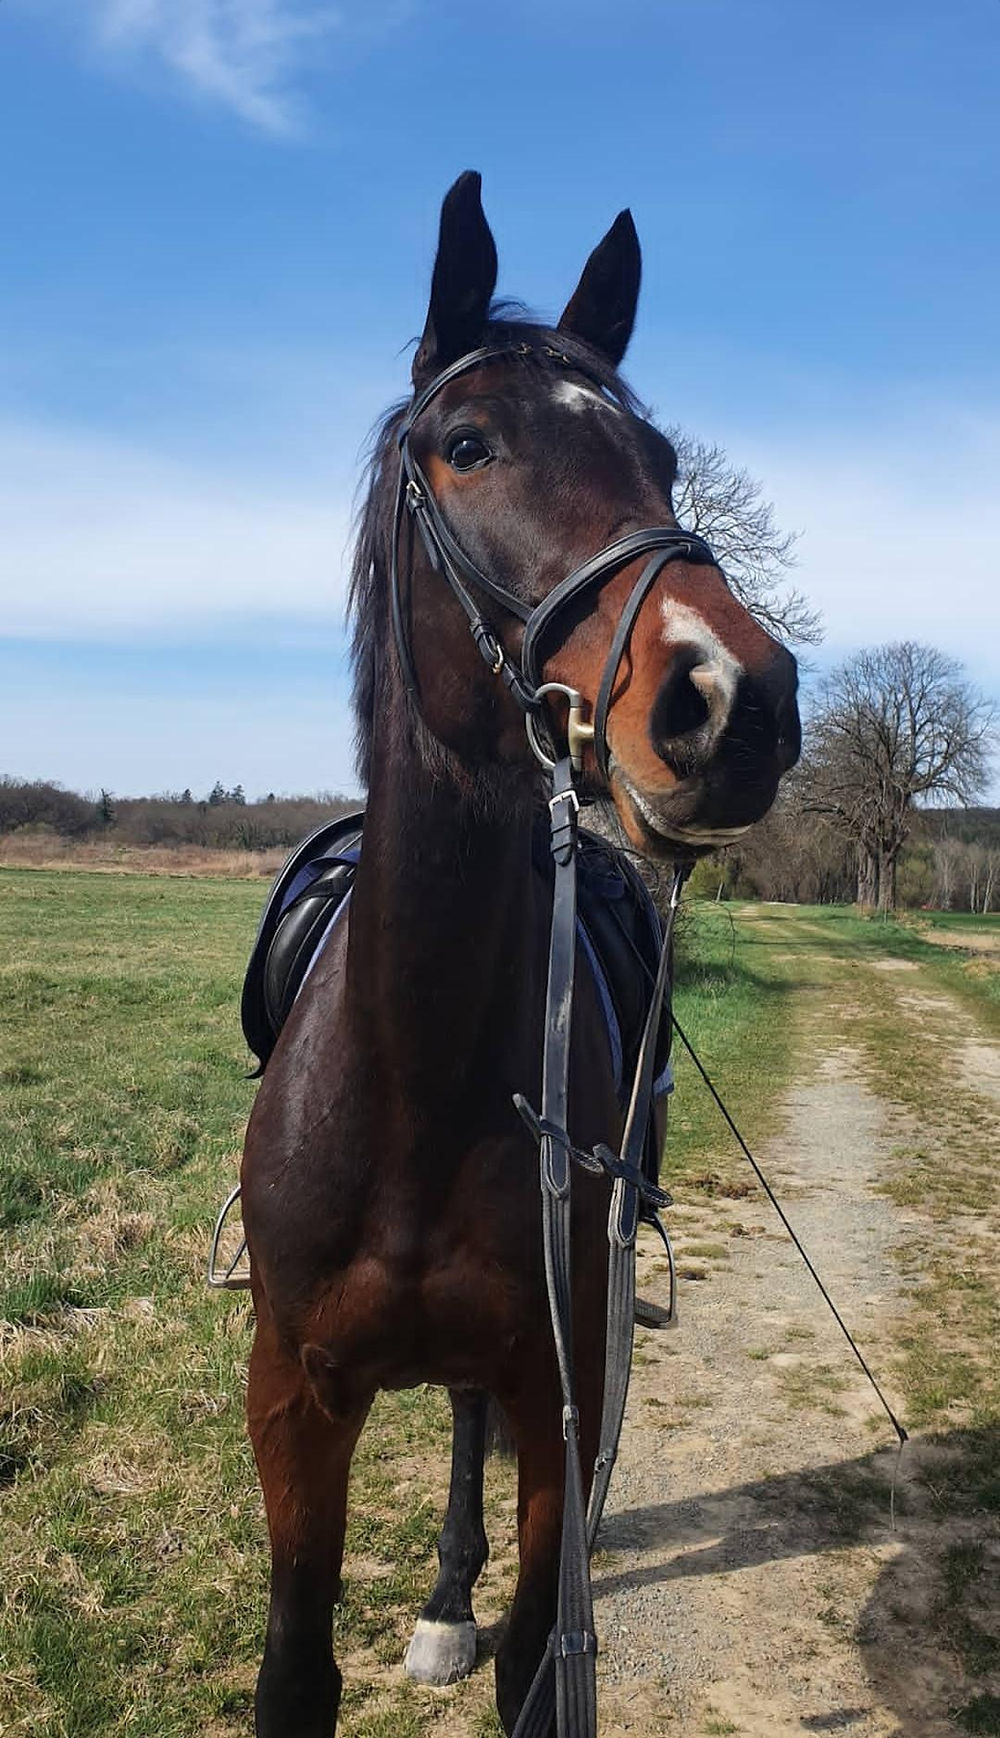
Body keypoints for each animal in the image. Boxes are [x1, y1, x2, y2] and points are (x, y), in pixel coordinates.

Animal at [240, 169, 801, 1738]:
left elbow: (546, 1657)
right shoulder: (294, 1400)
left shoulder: (565, 1381)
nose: (733, 700)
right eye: (469, 446)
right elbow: (295, 1670)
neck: (413, 1071)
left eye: (659, 458)